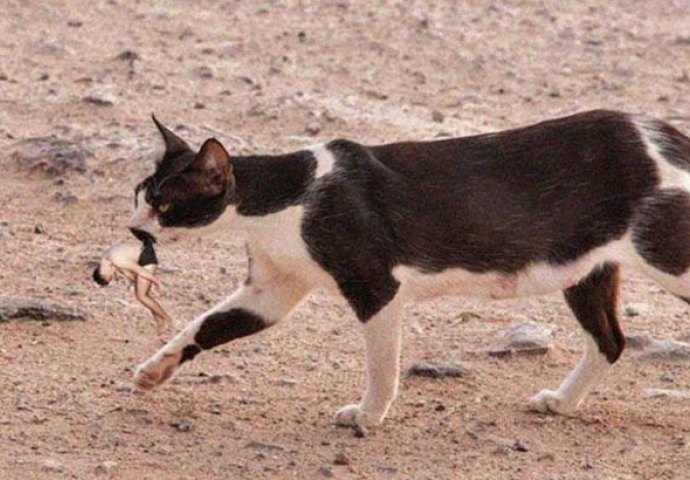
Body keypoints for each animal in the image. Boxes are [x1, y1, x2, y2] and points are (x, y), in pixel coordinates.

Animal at [127, 112, 688, 428]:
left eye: (163, 204)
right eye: (138, 194)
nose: (134, 228)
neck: (286, 199)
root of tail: (662, 131)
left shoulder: (375, 284)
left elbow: (381, 364)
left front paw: (368, 416)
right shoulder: (271, 288)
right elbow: (205, 325)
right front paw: (155, 369)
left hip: (666, 254)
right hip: (585, 268)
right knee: (610, 341)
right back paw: (563, 403)